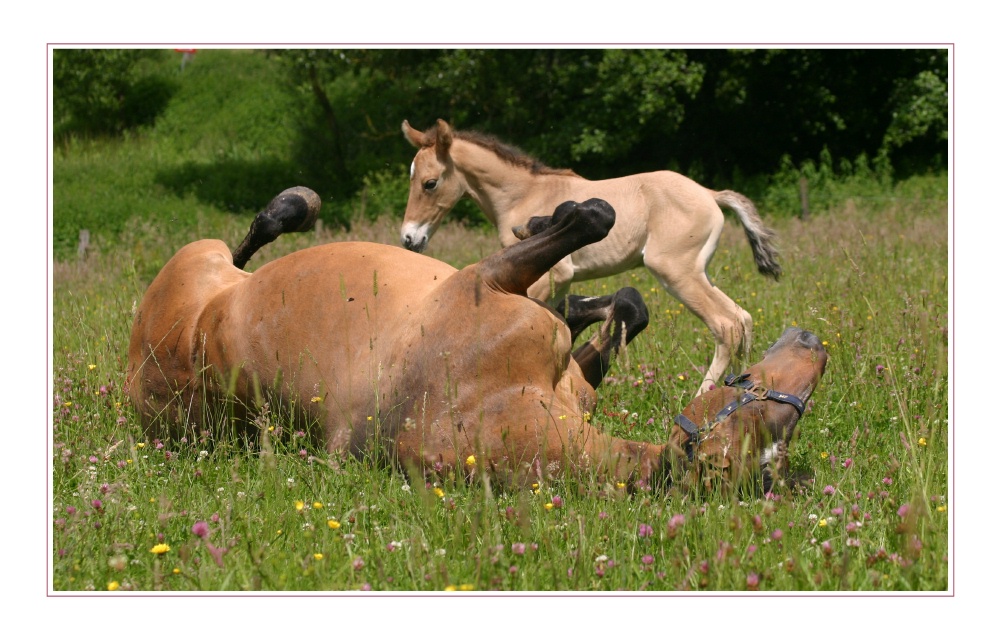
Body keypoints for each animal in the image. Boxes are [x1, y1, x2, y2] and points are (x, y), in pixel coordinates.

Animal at [398, 117, 780, 392]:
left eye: (430, 183)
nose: (409, 238)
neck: (522, 194)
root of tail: (710, 193)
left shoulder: (554, 274)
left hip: (676, 273)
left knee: (726, 325)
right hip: (699, 273)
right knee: (742, 319)